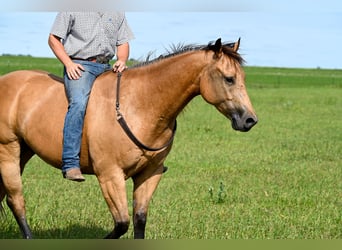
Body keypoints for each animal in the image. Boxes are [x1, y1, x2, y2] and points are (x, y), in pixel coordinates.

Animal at [0, 37, 256, 238]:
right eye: (229, 78)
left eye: (242, 77)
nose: (250, 120)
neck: (139, 106)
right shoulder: (110, 176)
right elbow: (121, 224)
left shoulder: (149, 174)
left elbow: (139, 220)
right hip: (8, 151)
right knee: (16, 200)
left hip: (25, 151)